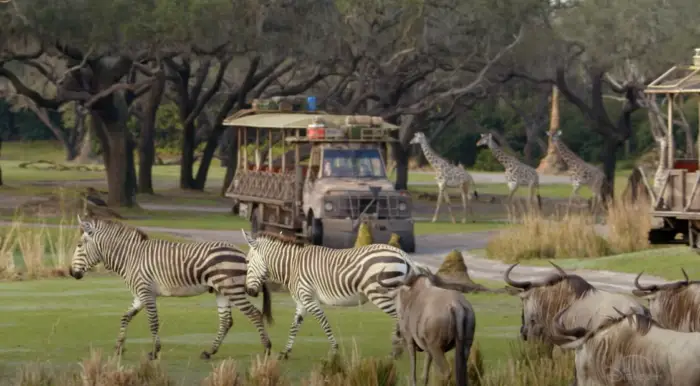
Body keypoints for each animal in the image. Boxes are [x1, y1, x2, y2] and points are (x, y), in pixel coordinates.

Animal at [69, 216, 274, 360]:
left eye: (78, 245)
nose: (71, 272)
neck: (130, 257)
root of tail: (242, 253)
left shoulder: (146, 292)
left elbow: (153, 322)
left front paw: (154, 352)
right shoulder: (140, 294)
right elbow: (125, 317)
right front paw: (119, 347)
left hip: (232, 290)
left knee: (255, 314)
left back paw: (266, 348)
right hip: (221, 291)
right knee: (226, 321)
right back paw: (209, 352)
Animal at [238, 229, 430, 358]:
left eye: (246, 261)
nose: (249, 291)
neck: (292, 266)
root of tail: (403, 255)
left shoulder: (309, 299)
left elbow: (324, 322)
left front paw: (334, 349)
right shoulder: (302, 301)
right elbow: (294, 326)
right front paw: (285, 352)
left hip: (381, 294)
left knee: (400, 318)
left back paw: (397, 350)